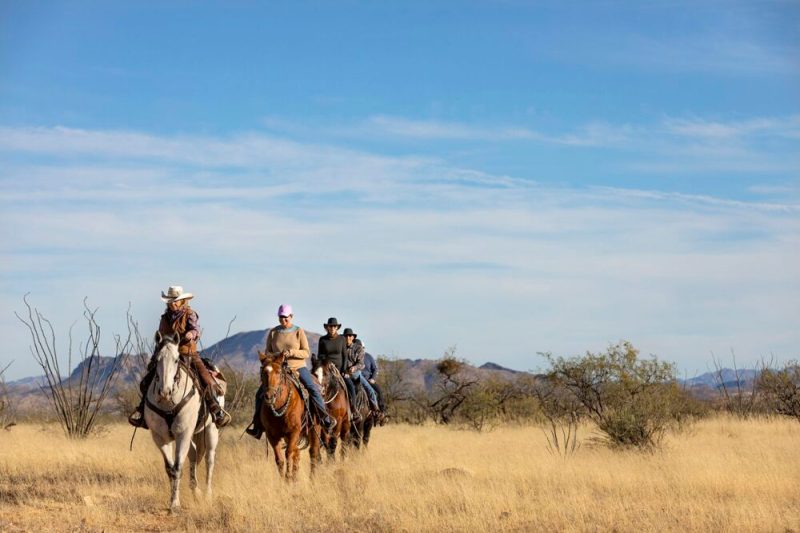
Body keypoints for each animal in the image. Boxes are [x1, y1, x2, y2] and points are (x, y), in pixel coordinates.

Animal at [143, 332, 220, 513]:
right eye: (156, 359)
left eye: (177, 359)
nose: (165, 391)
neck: (167, 403)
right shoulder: (160, 437)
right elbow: (170, 469)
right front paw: (173, 500)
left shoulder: (183, 434)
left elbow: (178, 467)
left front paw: (175, 504)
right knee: (193, 454)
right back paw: (195, 490)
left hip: (211, 430)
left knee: (209, 460)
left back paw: (207, 495)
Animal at [258, 352, 322, 480]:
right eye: (263, 372)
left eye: (278, 372)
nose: (269, 396)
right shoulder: (272, 435)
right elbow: (279, 459)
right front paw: (284, 480)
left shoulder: (293, 431)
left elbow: (288, 454)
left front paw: (288, 478)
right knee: (297, 453)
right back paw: (295, 478)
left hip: (314, 428)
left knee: (313, 452)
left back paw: (311, 478)